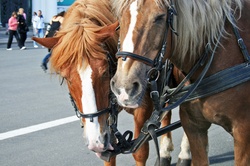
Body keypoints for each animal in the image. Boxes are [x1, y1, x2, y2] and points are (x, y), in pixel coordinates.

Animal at [32, 0, 188, 166]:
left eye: (105, 71)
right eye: (66, 77)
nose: (95, 141)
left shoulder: (143, 109)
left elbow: (140, 152)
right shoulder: (107, 121)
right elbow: (110, 154)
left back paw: (184, 155)